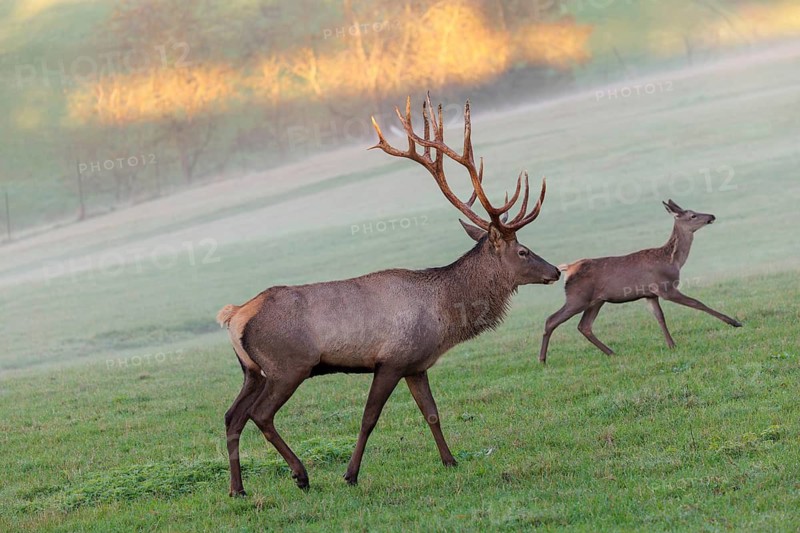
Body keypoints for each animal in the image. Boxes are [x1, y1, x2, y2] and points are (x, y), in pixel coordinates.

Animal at [217, 95, 561, 495]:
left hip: (252, 371)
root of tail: (235, 315)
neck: (444, 313)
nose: (555, 271)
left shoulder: (416, 364)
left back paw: (237, 489)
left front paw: (450, 460)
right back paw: (300, 474)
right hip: (288, 366)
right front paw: (350, 474)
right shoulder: (391, 360)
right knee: (260, 414)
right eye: (523, 251)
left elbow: (432, 412)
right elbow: (369, 418)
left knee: (232, 416)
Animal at [538, 199, 742, 364]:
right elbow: (697, 303)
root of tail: (568, 268)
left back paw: (611, 352)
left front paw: (671, 344)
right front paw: (734, 322)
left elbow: (660, 317)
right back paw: (542, 359)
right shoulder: (665, 287)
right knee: (551, 320)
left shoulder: (650, 294)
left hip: (596, 300)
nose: (711, 216)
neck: (672, 261)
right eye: (693, 215)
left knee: (584, 326)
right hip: (577, 297)